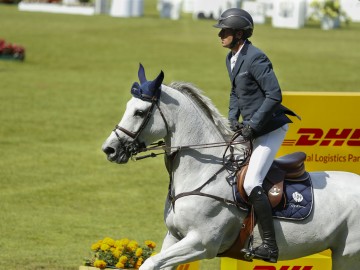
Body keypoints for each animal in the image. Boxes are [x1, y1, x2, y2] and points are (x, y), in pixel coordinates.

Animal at [100, 65, 360, 270]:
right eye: (129, 106)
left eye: (140, 112)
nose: (109, 149)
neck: (202, 173)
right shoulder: (174, 237)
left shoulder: (201, 242)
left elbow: (151, 262)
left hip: (347, 255)